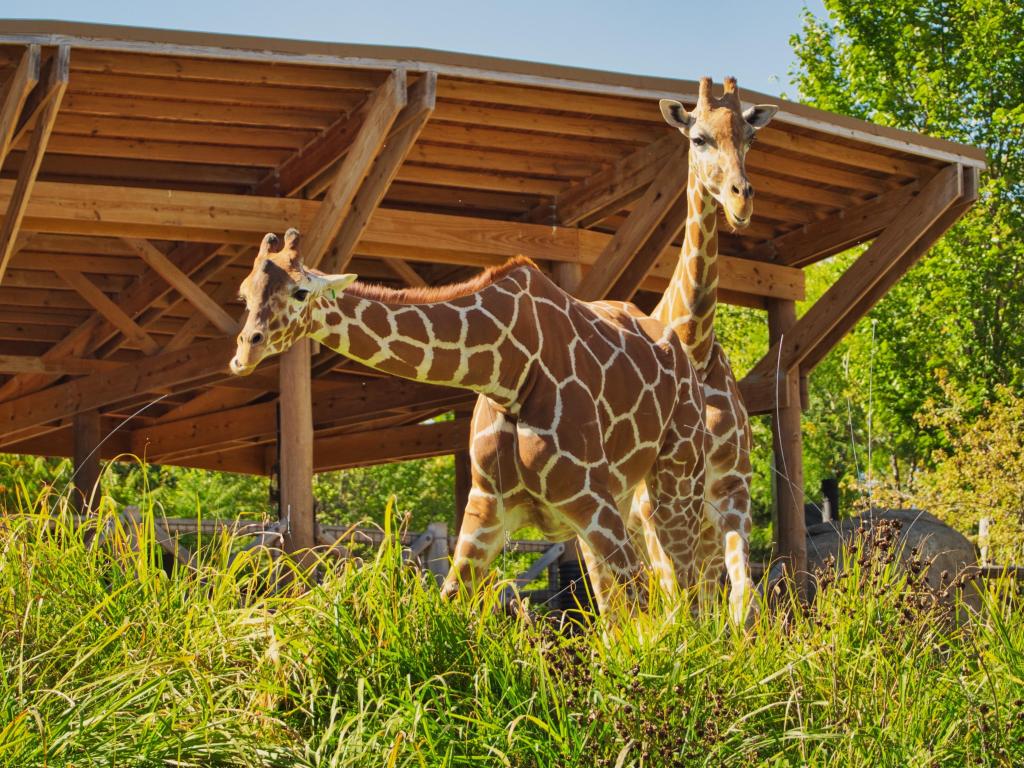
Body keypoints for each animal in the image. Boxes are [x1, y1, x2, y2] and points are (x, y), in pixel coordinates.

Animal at [234, 230, 712, 618]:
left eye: (300, 292)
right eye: (244, 294)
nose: (244, 353)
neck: (510, 371)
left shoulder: (590, 498)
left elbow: (644, 608)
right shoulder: (487, 506)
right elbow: (449, 601)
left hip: (677, 479)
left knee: (686, 592)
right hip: (621, 499)